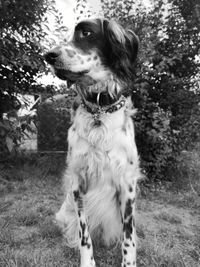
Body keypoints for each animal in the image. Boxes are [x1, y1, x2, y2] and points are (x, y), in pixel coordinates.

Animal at [44, 18, 141, 267]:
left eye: (86, 33)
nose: (48, 55)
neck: (99, 107)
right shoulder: (78, 181)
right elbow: (84, 234)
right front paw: (87, 261)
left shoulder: (127, 183)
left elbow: (128, 236)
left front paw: (128, 262)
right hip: (65, 211)